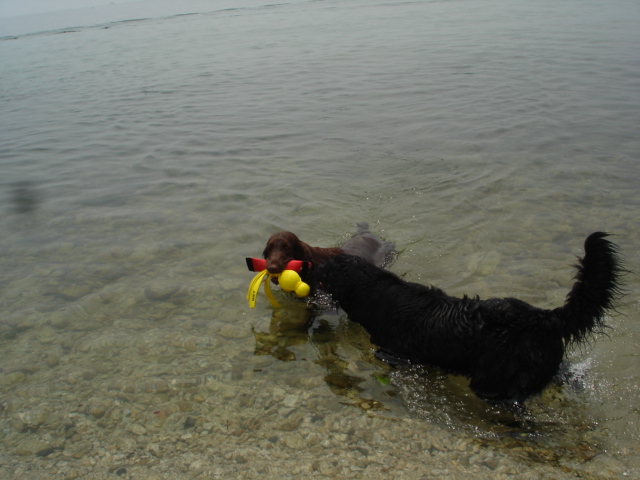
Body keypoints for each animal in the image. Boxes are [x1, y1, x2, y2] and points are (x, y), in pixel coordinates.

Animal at [318, 232, 624, 404]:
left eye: (327, 268)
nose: (314, 265)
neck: (377, 294)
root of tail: (543, 317)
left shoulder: (395, 352)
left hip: (492, 378)